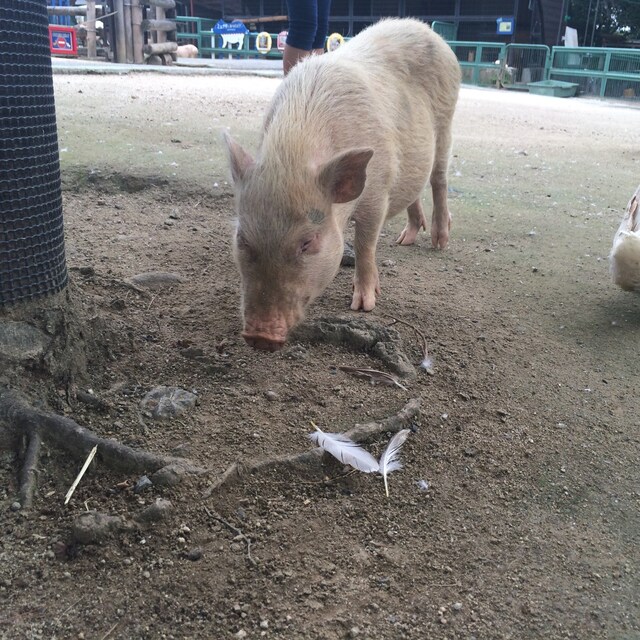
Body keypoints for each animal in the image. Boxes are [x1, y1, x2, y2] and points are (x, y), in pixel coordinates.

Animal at [224, 18, 461, 351]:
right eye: (242, 239)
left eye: (307, 242)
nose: (260, 336)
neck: (294, 153)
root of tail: (425, 29)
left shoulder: (377, 191)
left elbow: (365, 244)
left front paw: (364, 305)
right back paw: (404, 240)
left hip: (446, 122)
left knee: (438, 178)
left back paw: (439, 242)